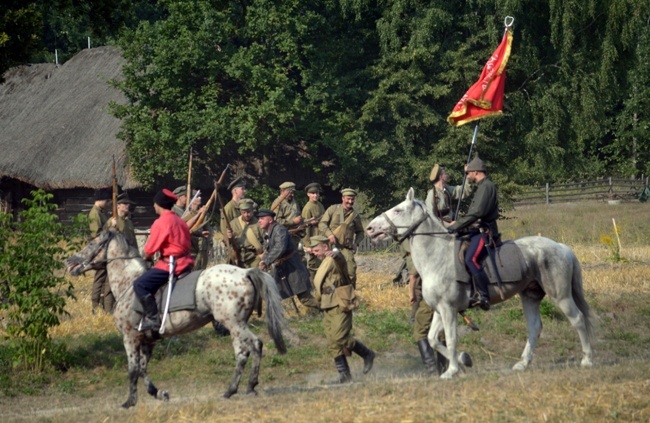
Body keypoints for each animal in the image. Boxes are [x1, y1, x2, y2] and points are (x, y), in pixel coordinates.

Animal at [66, 230, 286, 410]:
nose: (69, 262)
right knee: (243, 352)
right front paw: (160, 394)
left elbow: (133, 370)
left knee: (253, 346)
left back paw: (245, 387)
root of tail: (245, 272)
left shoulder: (130, 337)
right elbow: (143, 369)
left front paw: (129, 402)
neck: (128, 283)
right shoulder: (148, 341)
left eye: (92, 243)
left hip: (234, 324)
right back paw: (234, 390)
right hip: (236, 325)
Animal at [364, 190, 592, 380]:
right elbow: (433, 339)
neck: (437, 256)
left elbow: (451, 339)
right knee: (535, 327)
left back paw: (587, 360)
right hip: (530, 296)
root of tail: (562, 247)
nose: (369, 228)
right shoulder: (439, 309)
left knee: (578, 320)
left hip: (561, 296)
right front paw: (464, 360)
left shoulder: (448, 309)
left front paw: (451, 370)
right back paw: (522, 364)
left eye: (398, 210)